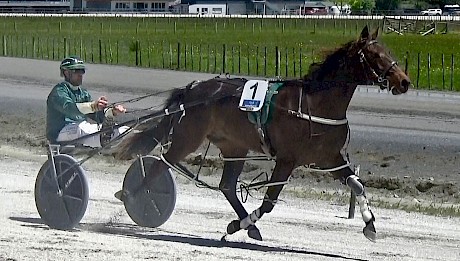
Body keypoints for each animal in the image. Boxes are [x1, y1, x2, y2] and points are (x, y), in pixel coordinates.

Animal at [115, 26, 410, 242]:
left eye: (389, 50)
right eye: (376, 55)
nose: (405, 81)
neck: (315, 104)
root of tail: (191, 89)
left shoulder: (330, 158)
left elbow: (357, 184)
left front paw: (370, 225)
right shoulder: (287, 160)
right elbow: (269, 203)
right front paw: (238, 225)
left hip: (235, 147)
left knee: (226, 186)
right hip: (188, 138)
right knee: (160, 165)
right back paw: (132, 195)